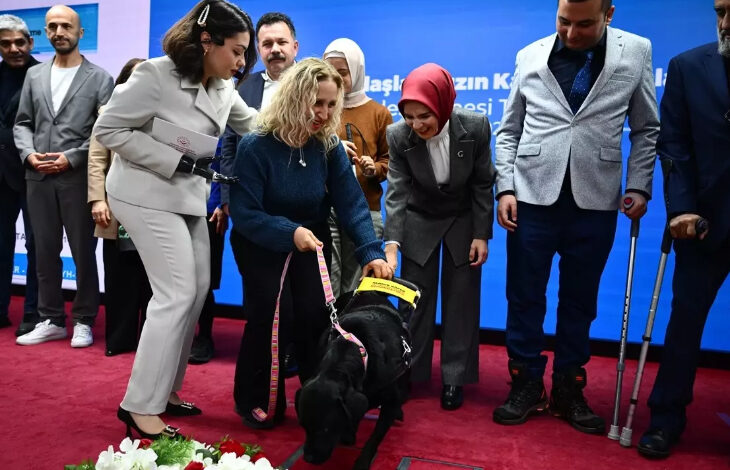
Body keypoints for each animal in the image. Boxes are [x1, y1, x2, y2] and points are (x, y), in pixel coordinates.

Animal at [292, 286, 412, 470]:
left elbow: (375, 437)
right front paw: (348, 434)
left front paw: (362, 461)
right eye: (303, 426)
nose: (308, 458)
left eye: (325, 429)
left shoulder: (390, 400)